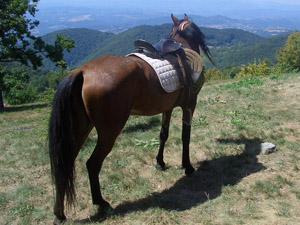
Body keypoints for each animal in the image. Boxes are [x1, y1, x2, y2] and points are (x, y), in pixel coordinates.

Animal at [48, 14, 213, 223]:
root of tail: (82, 72)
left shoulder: (167, 108)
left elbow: (163, 135)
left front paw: (160, 162)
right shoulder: (190, 104)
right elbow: (186, 137)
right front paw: (188, 166)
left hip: (80, 129)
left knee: (64, 165)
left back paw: (59, 214)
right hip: (109, 131)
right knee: (92, 164)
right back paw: (102, 203)